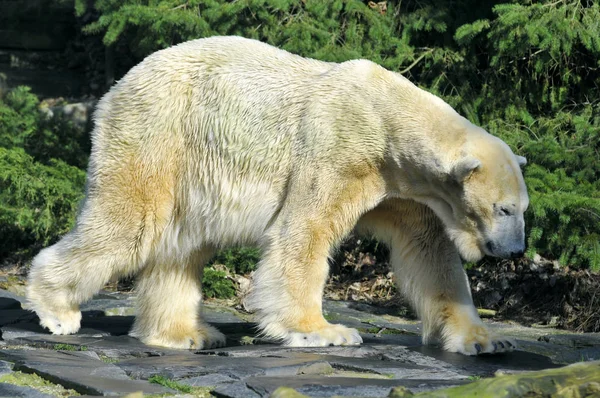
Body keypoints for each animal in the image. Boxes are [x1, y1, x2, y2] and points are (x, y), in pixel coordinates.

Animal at [27, 36, 524, 354]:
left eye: (524, 210)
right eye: (503, 208)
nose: (516, 250)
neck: (387, 121)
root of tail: (118, 86)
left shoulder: (401, 189)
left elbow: (429, 251)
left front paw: (485, 339)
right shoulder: (339, 152)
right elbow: (303, 233)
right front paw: (324, 330)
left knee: (181, 246)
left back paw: (186, 334)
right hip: (158, 133)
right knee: (130, 226)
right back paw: (57, 310)